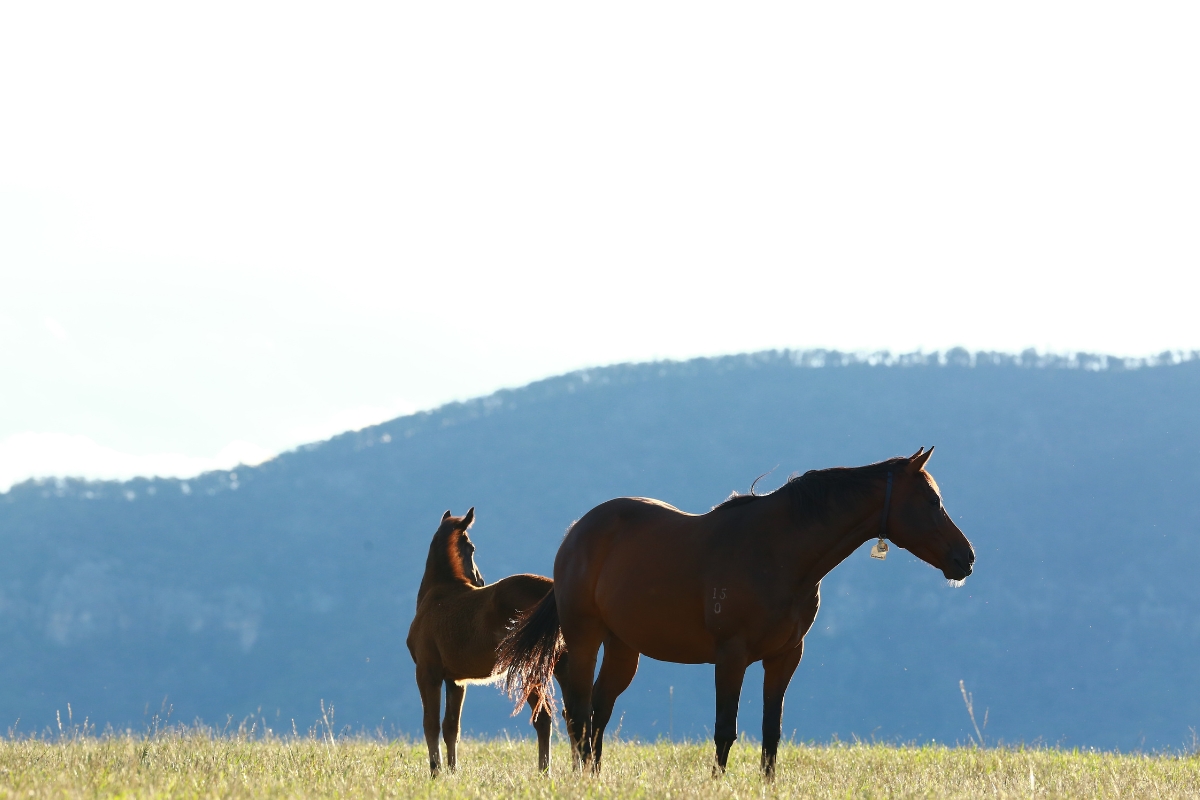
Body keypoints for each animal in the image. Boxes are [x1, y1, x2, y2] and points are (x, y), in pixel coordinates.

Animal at [406, 508, 569, 775]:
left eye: (471, 547)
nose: (480, 580)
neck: (438, 594)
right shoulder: (456, 680)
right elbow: (451, 727)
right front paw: (452, 771)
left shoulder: (427, 672)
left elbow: (431, 723)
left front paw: (435, 772)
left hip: (531, 668)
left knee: (544, 717)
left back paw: (545, 772)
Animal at [498, 447, 975, 777]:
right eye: (932, 501)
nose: (965, 558)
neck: (778, 552)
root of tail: (577, 533)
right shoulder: (731, 655)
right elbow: (725, 727)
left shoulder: (785, 656)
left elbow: (771, 731)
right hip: (584, 638)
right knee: (578, 713)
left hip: (623, 648)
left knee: (598, 710)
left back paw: (595, 776)